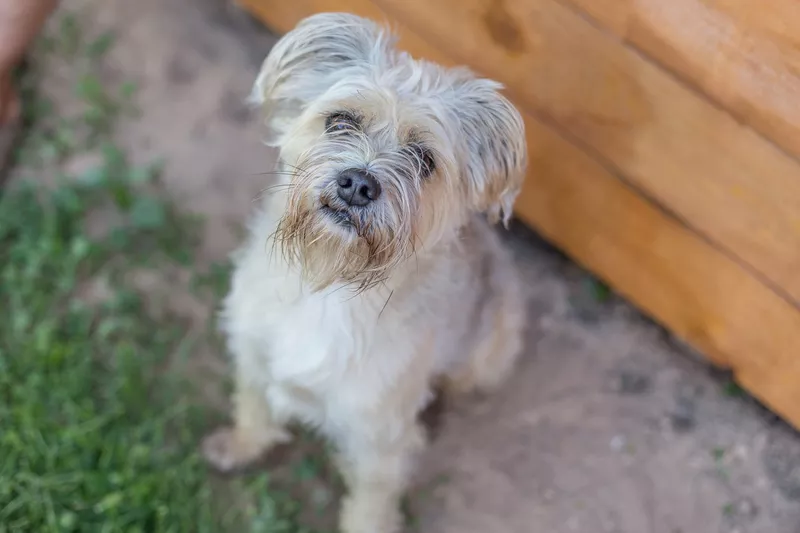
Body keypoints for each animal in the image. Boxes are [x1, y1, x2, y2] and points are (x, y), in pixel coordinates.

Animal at [200, 13, 528, 532]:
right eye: (340, 121)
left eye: (424, 159)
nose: (357, 183)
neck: (329, 284)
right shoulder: (252, 355)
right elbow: (252, 410)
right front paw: (240, 446)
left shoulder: (380, 441)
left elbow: (371, 505)